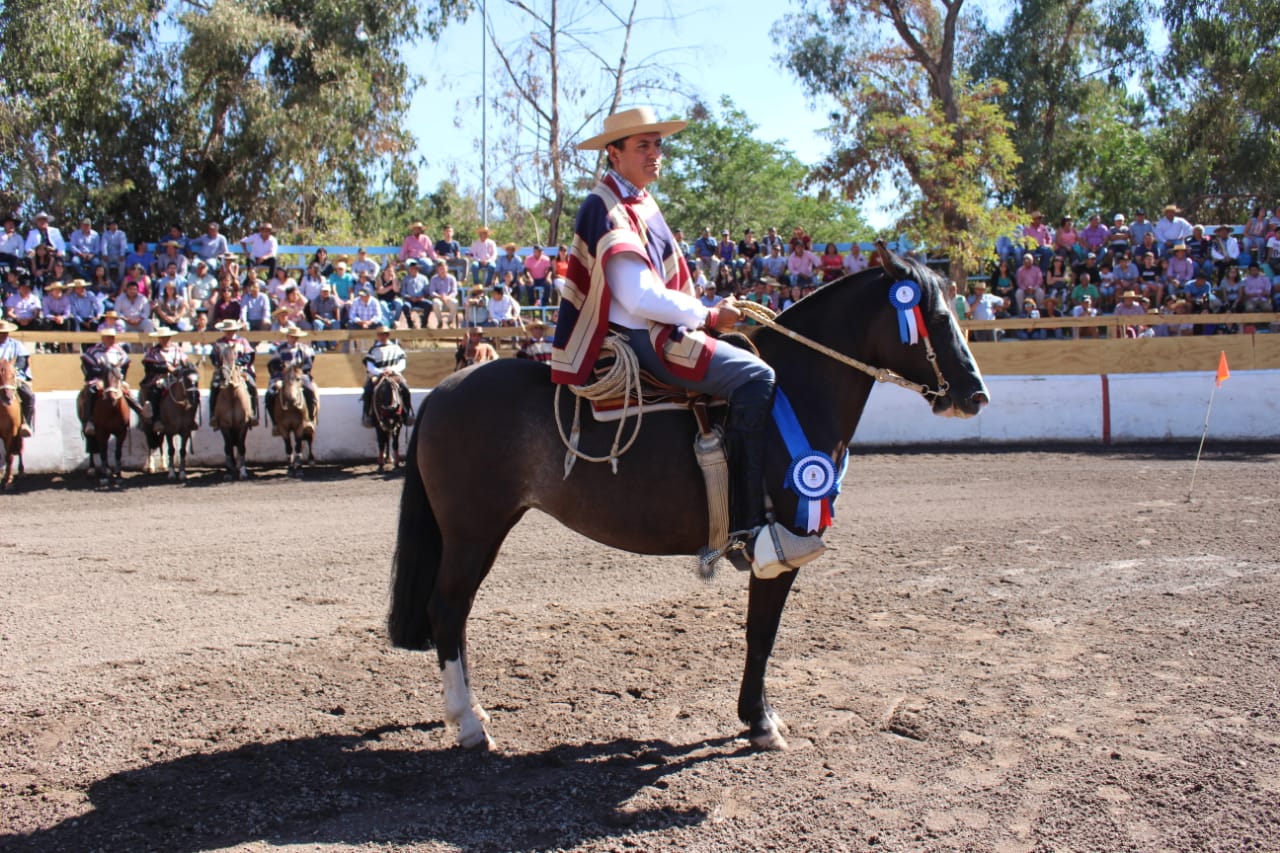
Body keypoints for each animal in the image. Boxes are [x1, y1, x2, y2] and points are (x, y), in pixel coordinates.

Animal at [389, 249, 988, 747]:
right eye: (935, 318)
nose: (975, 394)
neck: (793, 394)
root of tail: (444, 391)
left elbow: (760, 633)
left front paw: (758, 716)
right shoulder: (781, 549)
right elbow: (761, 633)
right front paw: (760, 721)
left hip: (482, 531)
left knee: (457, 614)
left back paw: (473, 712)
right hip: (472, 531)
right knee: (448, 609)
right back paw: (469, 725)